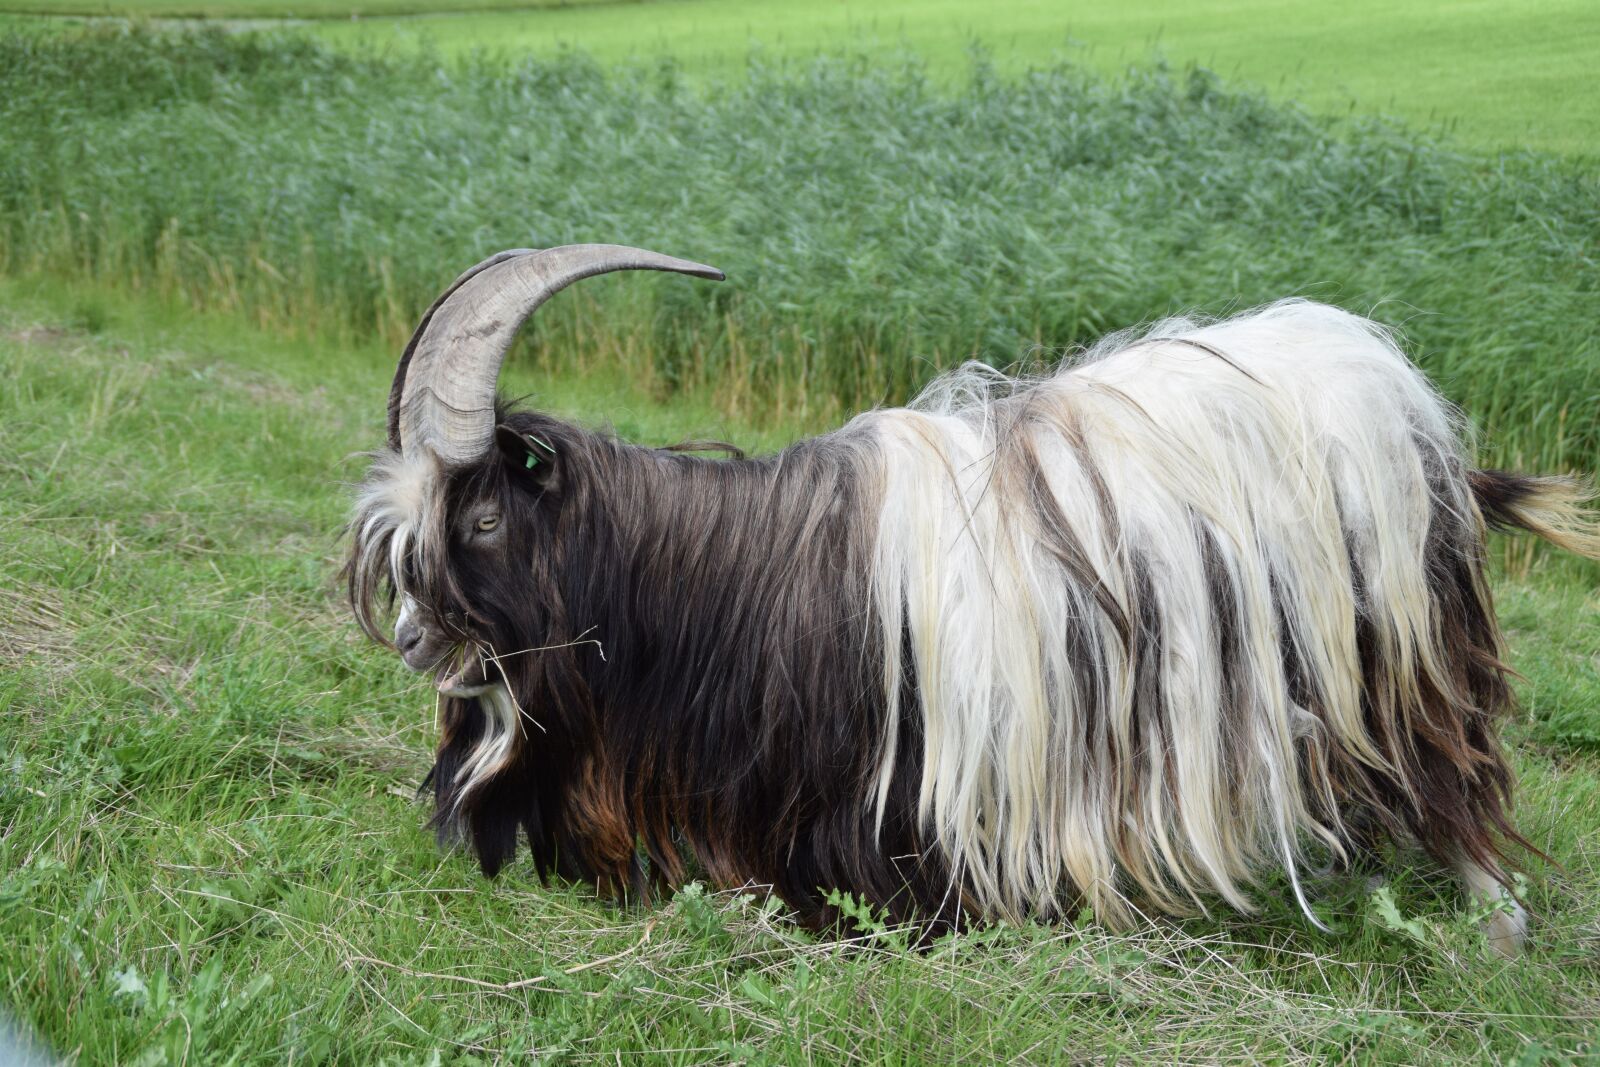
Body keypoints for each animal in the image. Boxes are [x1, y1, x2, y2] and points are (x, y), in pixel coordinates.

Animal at [345, 244, 1600, 955]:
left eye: (484, 520)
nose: (408, 639)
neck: (711, 585)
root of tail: (1409, 406)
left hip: (1401, 654)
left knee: (1456, 783)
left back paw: (1490, 918)